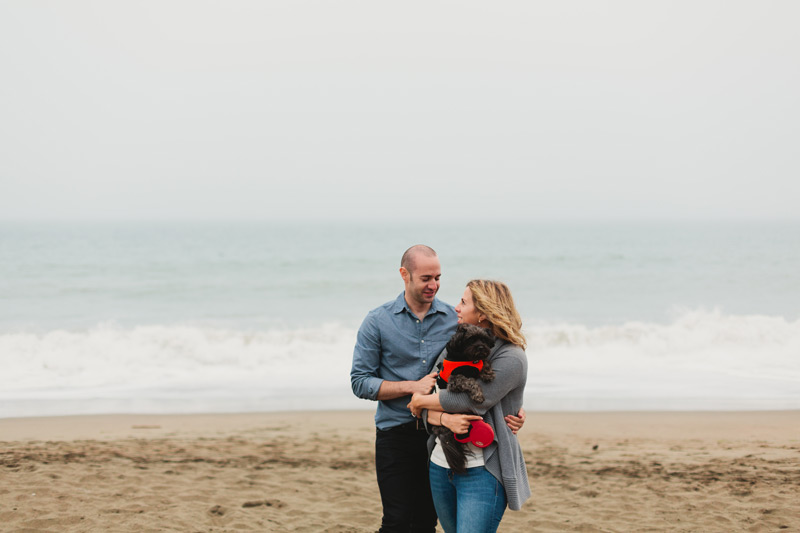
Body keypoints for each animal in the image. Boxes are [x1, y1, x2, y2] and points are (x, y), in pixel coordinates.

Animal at [432, 322, 494, 472]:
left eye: (484, 339)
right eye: (471, 340)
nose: (481, 347)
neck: (467, 359)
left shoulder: (478, 362)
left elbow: (484, 362)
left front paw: (487, 373)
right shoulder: (455, 380)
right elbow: (470, 381)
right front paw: (478, 395)